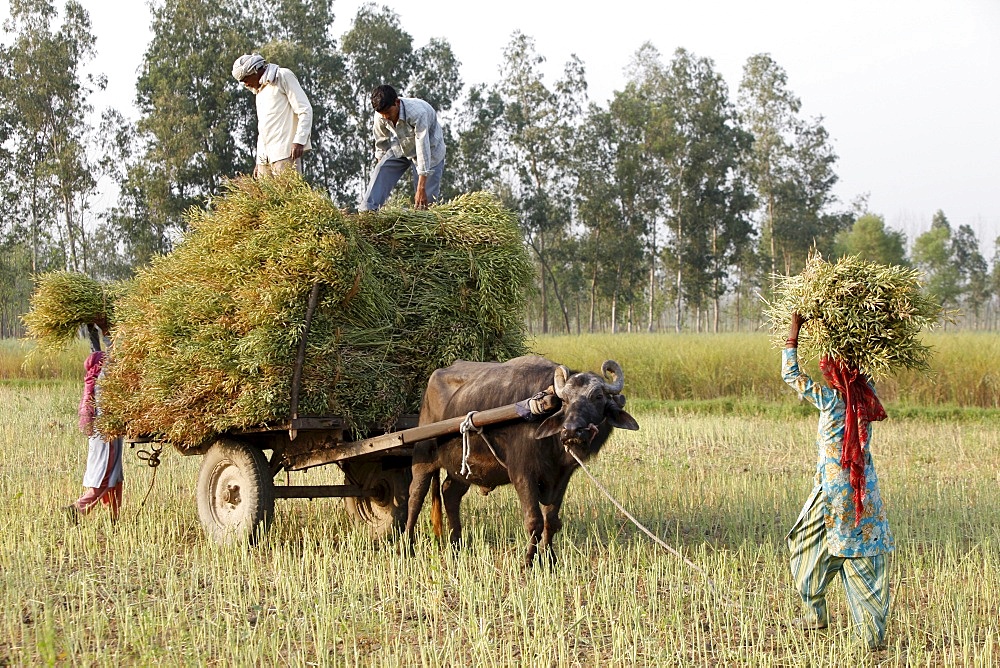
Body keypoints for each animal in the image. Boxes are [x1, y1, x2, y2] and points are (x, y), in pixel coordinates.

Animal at [404, 352, 640, 568]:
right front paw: (528, 560)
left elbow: (551, 520)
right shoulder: (522, 474)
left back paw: (456, 545)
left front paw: (550, 559)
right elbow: (534, 520)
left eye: (598, 397)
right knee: (415, 495)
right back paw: (407, 545)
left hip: (462, 469)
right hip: (423, 457)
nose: (572, 431)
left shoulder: (561, 476)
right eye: (564, 401)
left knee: (449, 493)